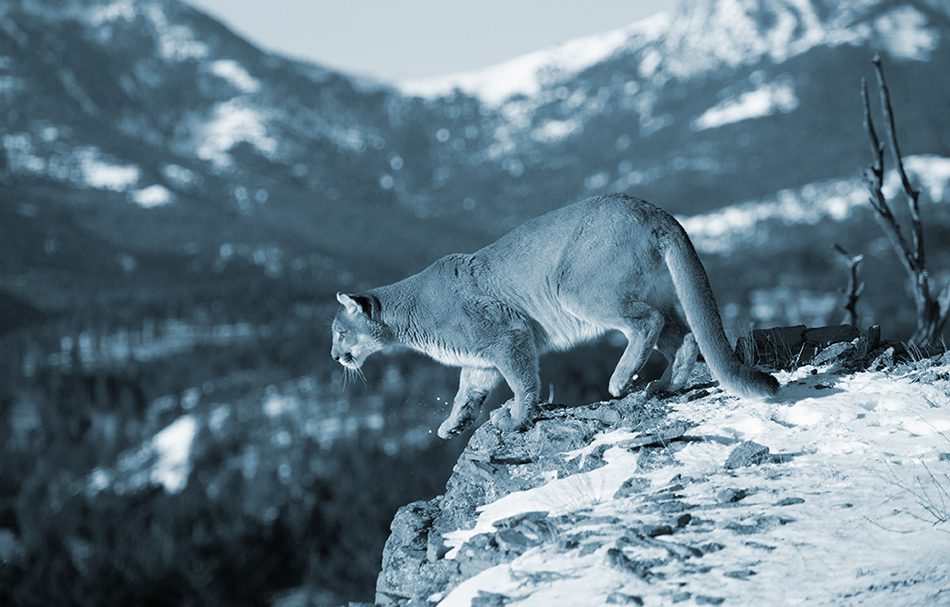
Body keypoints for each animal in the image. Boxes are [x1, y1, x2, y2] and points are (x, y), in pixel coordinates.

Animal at [332, 195, 780, 436]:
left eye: (338, 332)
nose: (335, 356)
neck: (407, 314)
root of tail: (651, 209)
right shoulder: (481, 359)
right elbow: (467, 392)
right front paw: (454, 425)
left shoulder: (508, 333)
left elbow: (522, 380)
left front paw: (515, 417)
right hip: (646, 291)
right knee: (682, 335)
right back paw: (664, 386)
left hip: (576, 286)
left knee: (647, 322)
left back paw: (621, 380)